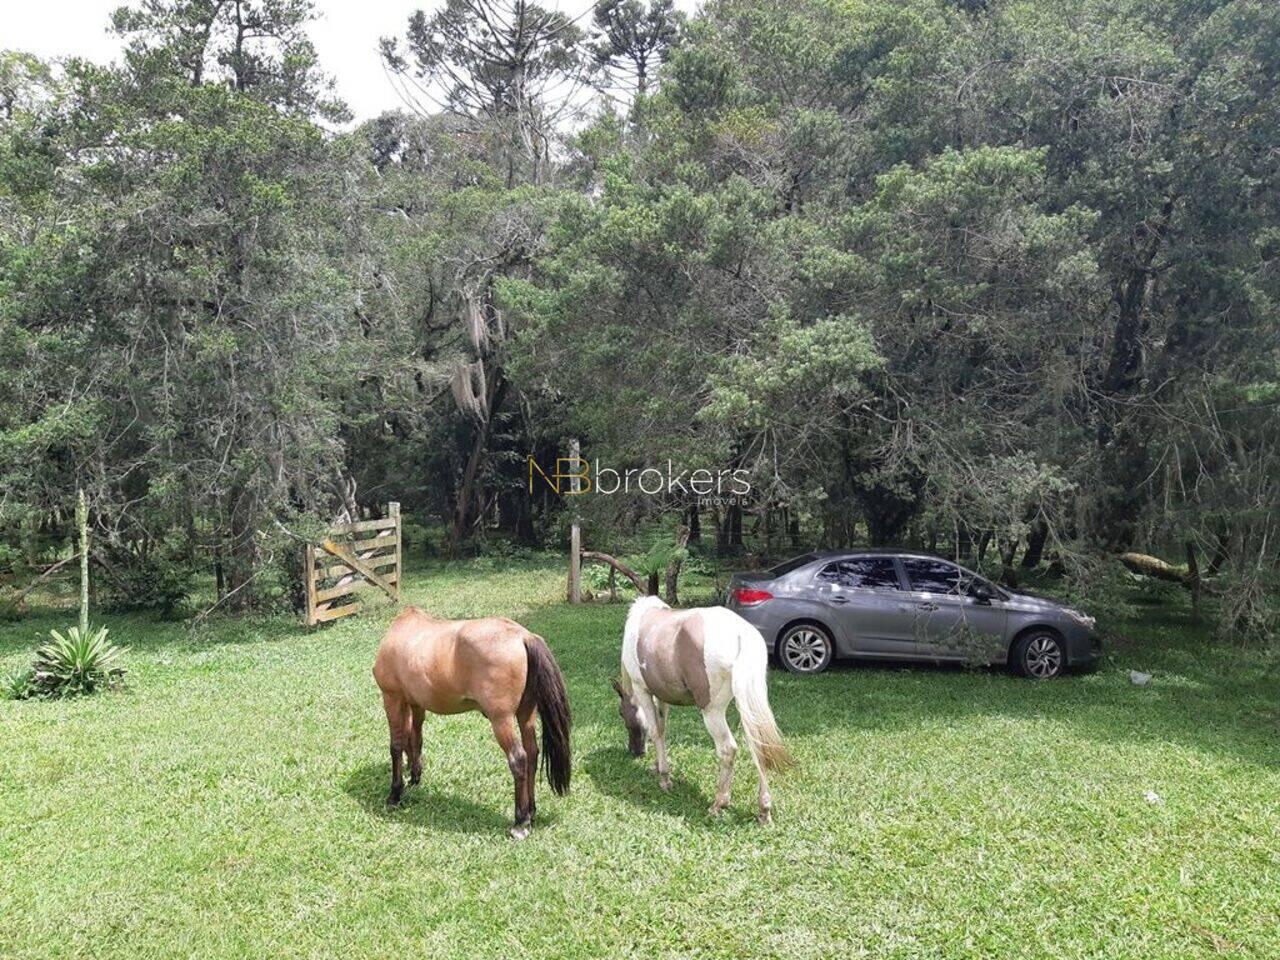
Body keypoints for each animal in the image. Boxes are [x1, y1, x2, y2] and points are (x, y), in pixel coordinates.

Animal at [371, 609, 570, 839]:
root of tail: (523, 636)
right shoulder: (415, 704)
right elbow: (414, 740)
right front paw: (414, 778)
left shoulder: (392, 698)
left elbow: (396, 746)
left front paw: (395, 794)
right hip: (526, 714)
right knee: (532, 754)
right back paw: (531, 812)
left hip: (501, 719)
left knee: (519, 759)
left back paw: (520, 822)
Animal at [614, 599, 793, 824]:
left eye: (622, 713)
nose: (635, 751)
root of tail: (741, 635)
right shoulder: (663, 696)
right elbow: (662, 730)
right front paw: (658, 767)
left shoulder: (643, 690)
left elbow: (655, 731)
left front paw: (664, 778)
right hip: (749, 706)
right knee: (759, 747)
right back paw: (764, 809)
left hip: (712, 712)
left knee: (728, 750)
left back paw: (719, 803)